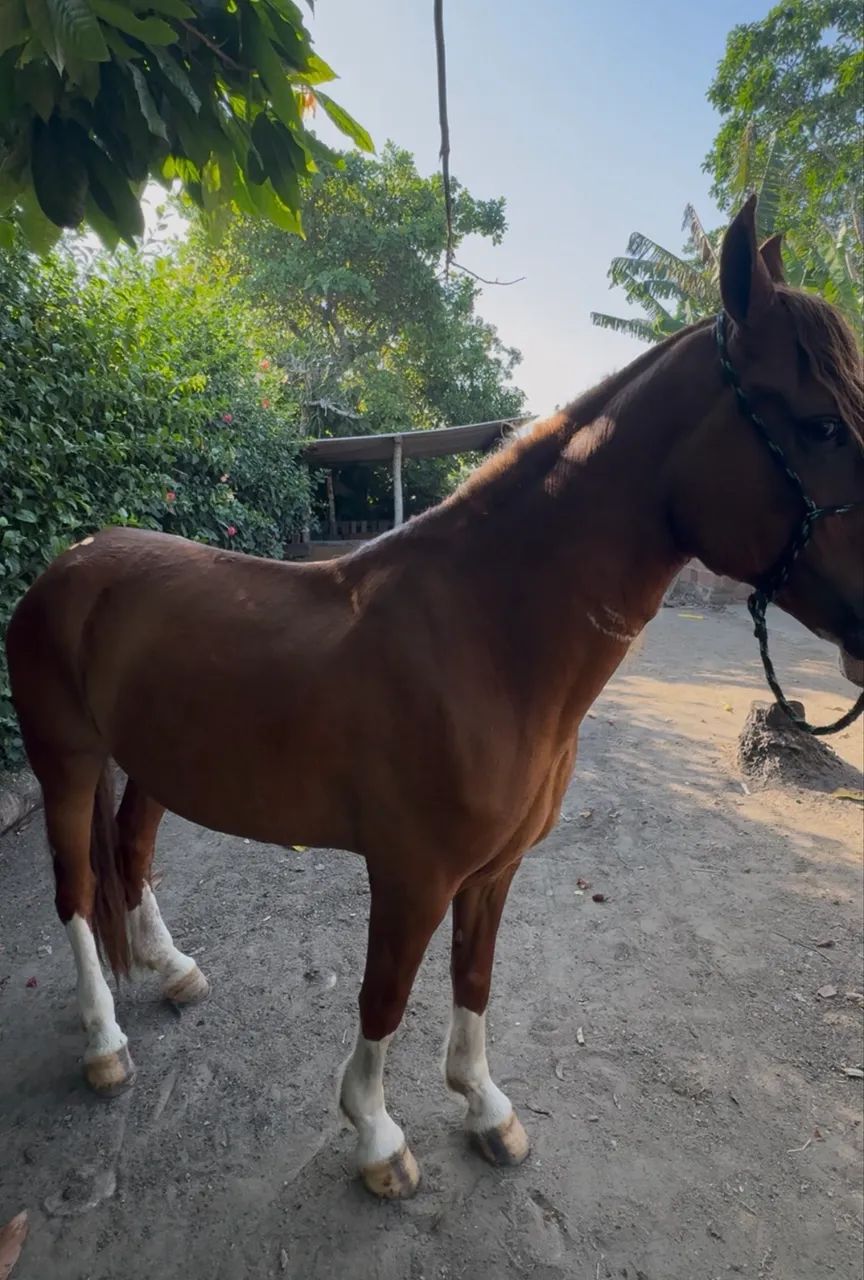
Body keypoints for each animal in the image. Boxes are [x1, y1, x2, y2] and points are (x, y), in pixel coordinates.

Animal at [6, 196, 863, 1199]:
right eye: (821, 426)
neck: (486, 637)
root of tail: (72, 562)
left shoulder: (493, 871)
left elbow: (473, 982)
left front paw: (486, 1108)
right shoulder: (411, 875)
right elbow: (386, 996)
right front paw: (378, 1138)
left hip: (153, 763)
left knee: (133, 851)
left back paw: (172, 969)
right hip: (65, 762)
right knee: (75, 886)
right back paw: (105, 1042)